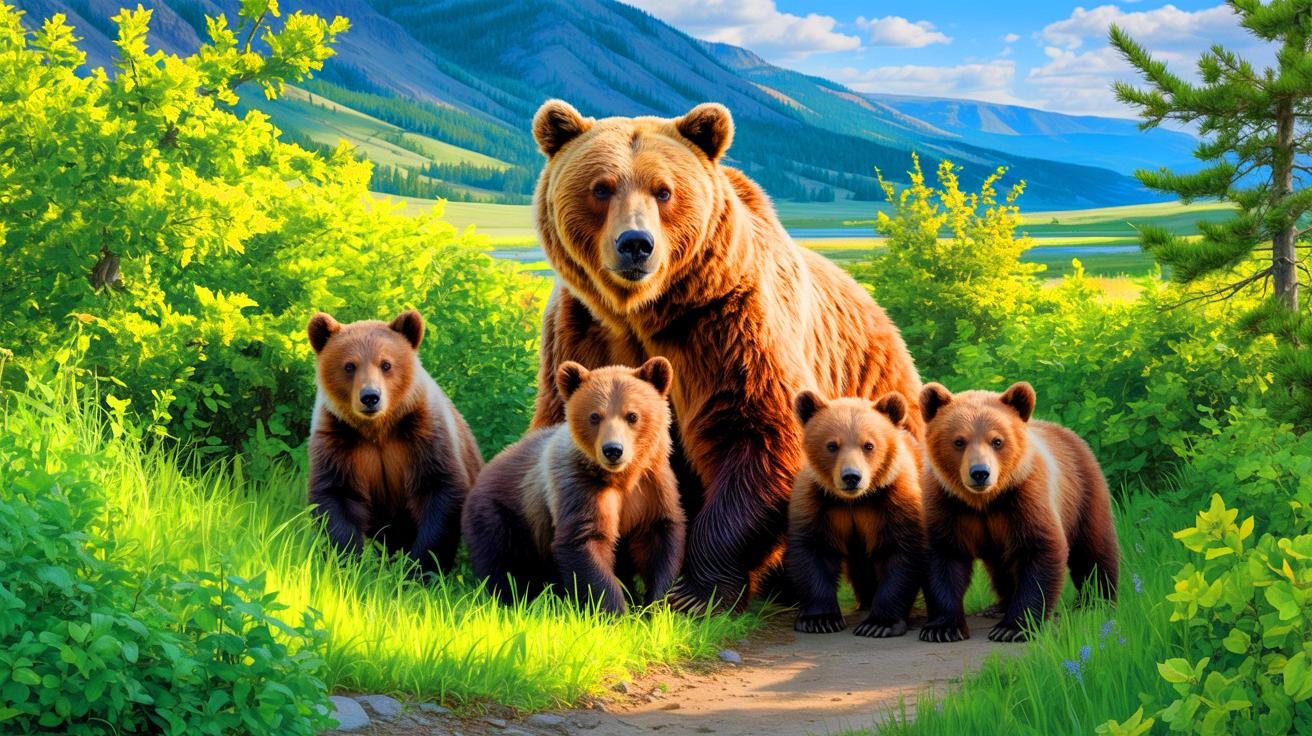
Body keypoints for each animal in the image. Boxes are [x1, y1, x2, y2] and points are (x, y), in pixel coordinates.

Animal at [306, 310, 482, 575]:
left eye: (386, 364)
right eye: (349, 365)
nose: (370, 397)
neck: (378, 430)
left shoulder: (424, 435)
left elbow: (439, 489)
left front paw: (419, 567)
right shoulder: (337, 439)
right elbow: (337, 497)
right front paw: (348, 562)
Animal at [462, 357, 685, 614]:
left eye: (632, 416)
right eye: (595, 416)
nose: (613, 450)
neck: (621, 477)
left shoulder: (651, 488)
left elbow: (660, 539)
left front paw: (654, 606)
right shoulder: (578, 486)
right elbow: (584, 541)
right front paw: (616, 612)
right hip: (503, 511)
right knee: (501, 558)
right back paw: (512, 600)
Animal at [528, 99, 924, 611]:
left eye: (664, 191)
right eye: (601, 187)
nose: (635, 244)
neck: (644, 312)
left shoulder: (727, 322)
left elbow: (758, 430)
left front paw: (692, 592)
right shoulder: (582, 331)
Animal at [787, 391, 926, 637]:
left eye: (868, 445)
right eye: (832, 445)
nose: (851, 476)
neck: (855, 501)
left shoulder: (895, 500)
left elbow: (901, 551)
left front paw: (879, 624)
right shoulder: (818, 502)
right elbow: (814, 550)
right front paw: (819, 619)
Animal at [917, 381, 1120, 643]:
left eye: (997, 441)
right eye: (959, 441)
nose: (980, 472)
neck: (985, 501)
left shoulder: (1026, 496)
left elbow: (1039, 550)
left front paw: (1014, 627)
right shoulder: (947, 504)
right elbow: (944, 555)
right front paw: (941, 628)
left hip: (1083, 492)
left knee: (1093, 549)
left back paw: (1096, 601)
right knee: (1001, 568)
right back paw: (998, 606)